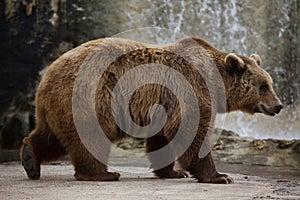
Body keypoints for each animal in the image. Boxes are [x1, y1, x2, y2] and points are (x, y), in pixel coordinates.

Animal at [19, 36, 282, 184]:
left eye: (270, 83)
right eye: (263, 86)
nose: (278, 106)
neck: (216, 83)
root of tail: (47, 75)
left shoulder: (163, 104)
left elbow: (162, 138)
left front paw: (173, 172)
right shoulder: (190, 89)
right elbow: (192, 132)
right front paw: (220, 176)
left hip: (57, 106)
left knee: (50, 136)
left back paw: (31, 159)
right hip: (90, 97)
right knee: (91, 137)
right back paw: (103, 174)